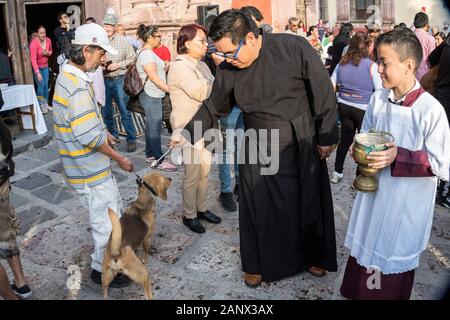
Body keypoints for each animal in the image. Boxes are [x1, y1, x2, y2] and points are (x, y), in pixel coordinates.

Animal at [102, 172, 172, 300]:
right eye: (163, 177)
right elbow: (145, 251)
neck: (142, 204)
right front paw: (144, 259)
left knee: (104, 290)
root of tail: (115, 253)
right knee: (147, 291)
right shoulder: (147, 238)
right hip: (143, 274)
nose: (170, 178)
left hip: (106, 277)